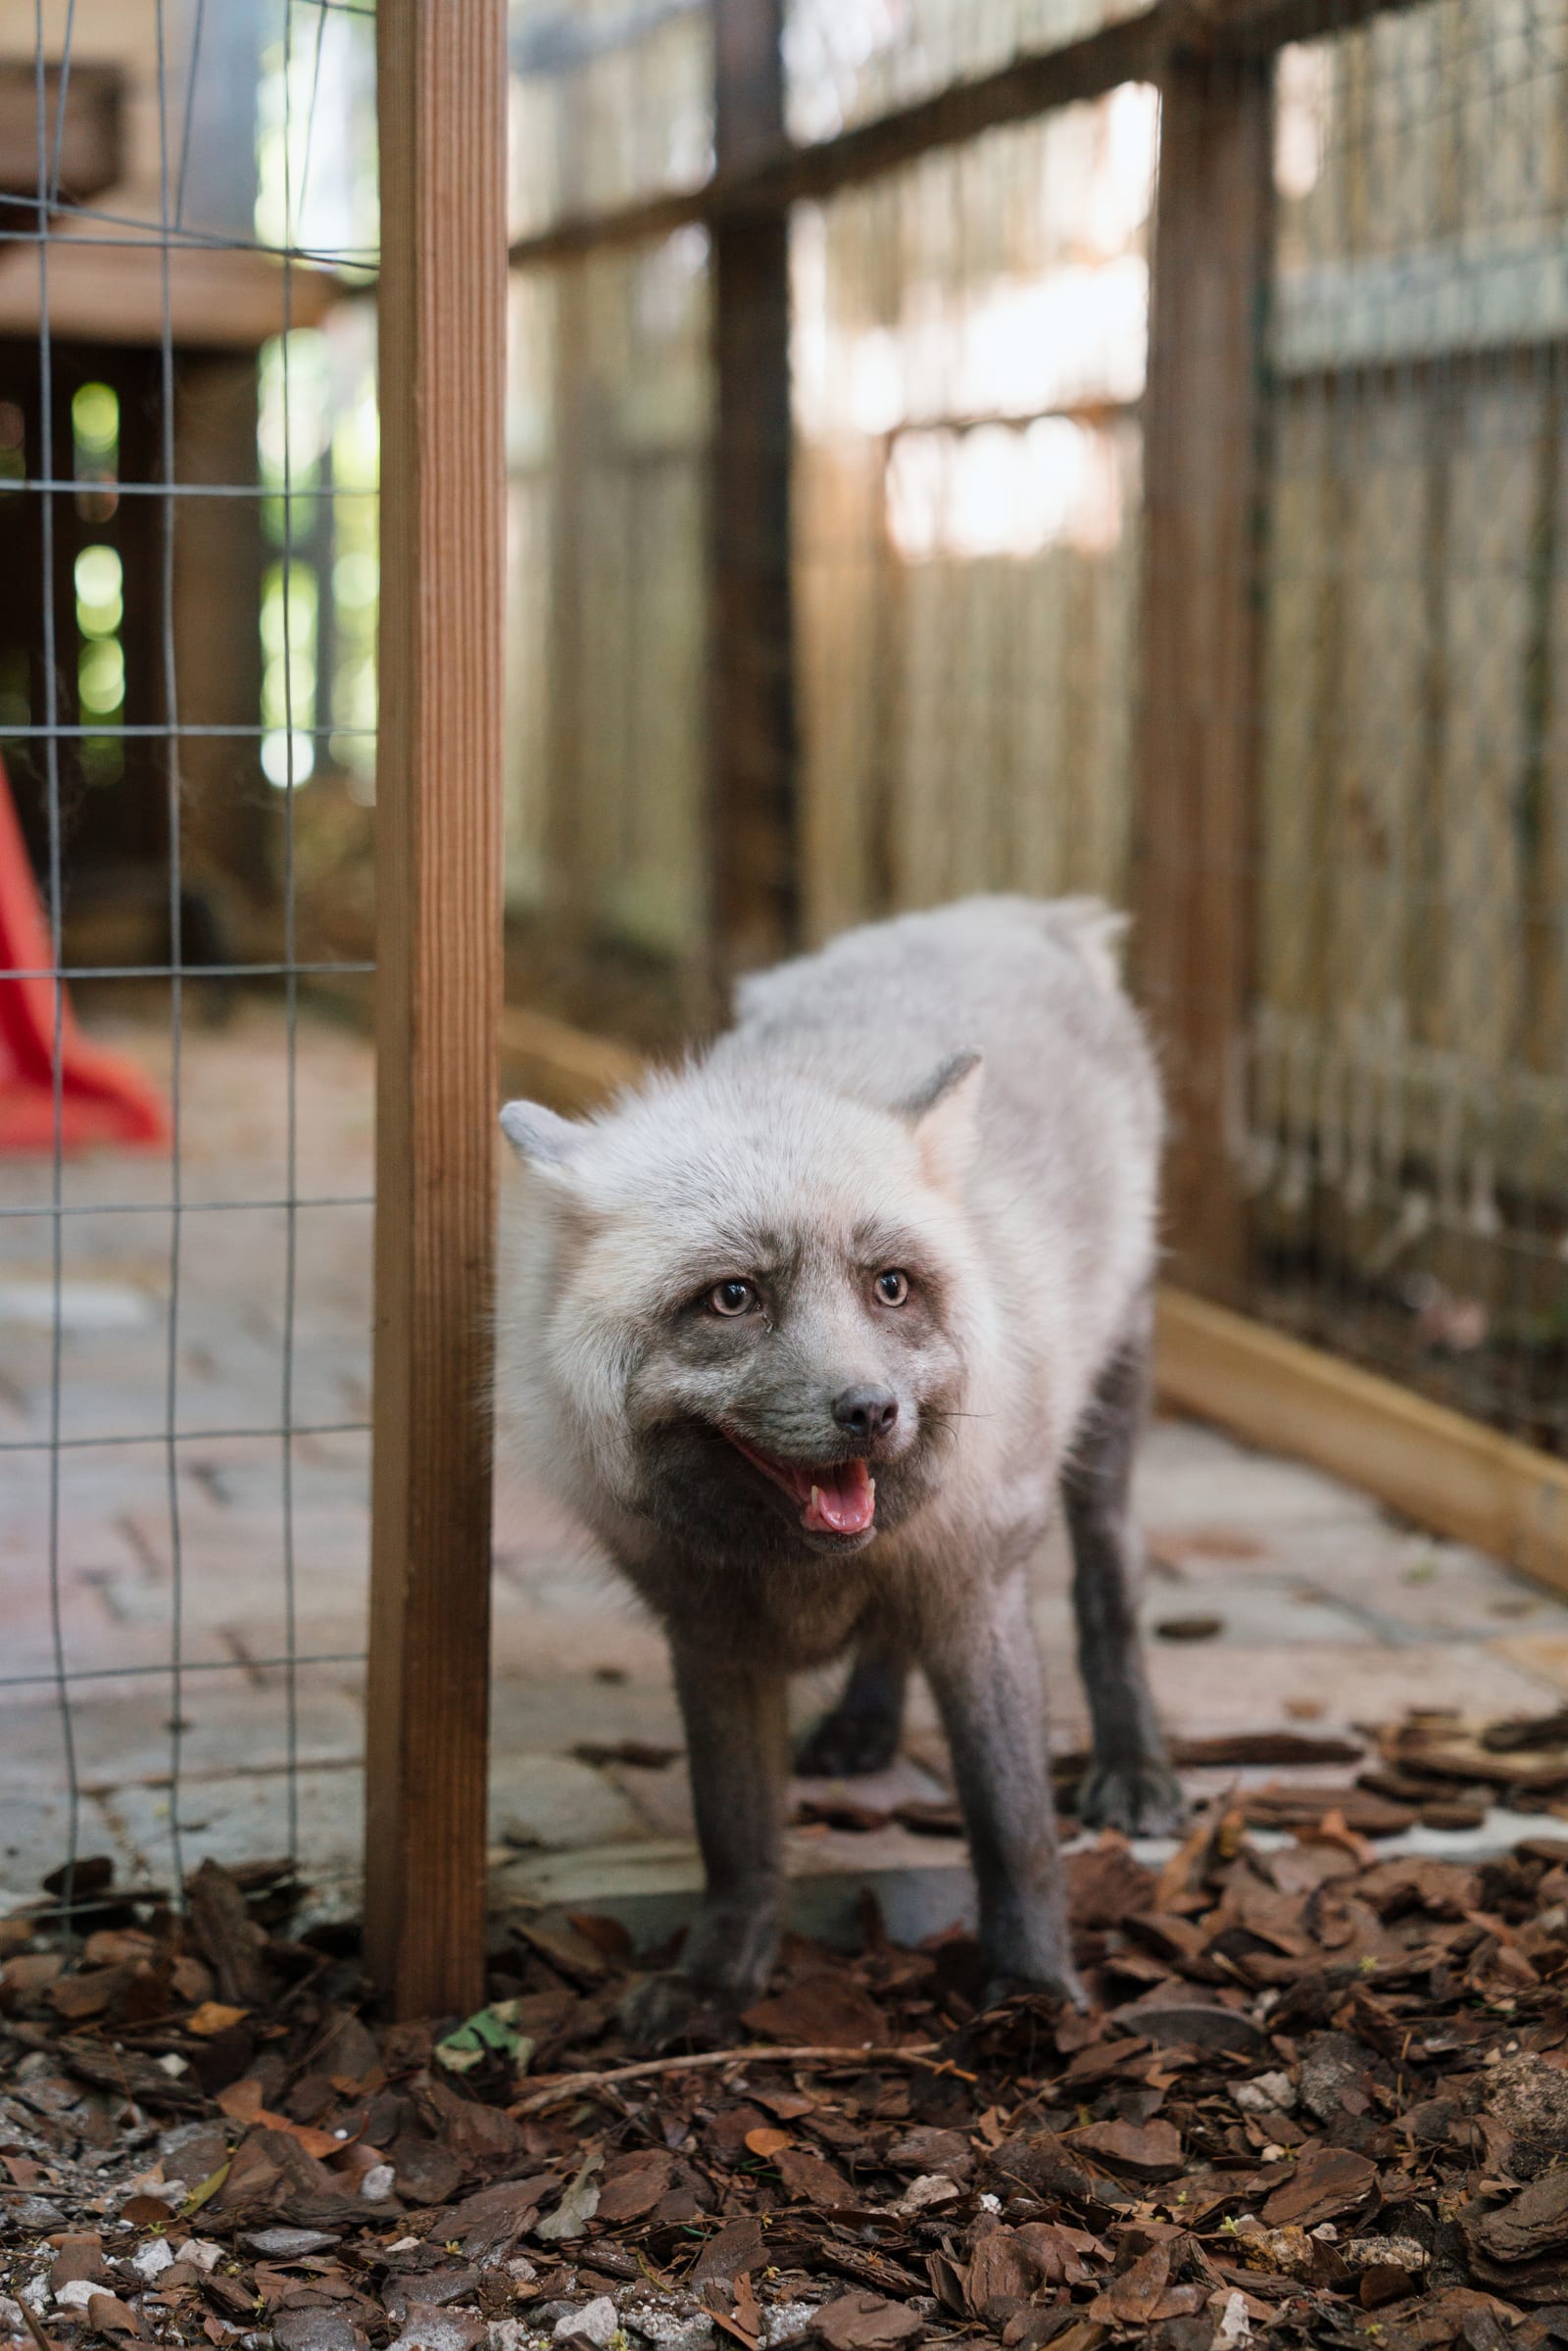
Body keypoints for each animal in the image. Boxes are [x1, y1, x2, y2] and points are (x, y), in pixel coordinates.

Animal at [495, 895, 1183, 2031]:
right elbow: (734, 1835)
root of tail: (999, 913)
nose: (871, 1411)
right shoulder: (709, 1630)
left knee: (1110, 1588)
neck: (801, 1574)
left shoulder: (973, 1591)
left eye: (890, 1285)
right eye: (733, 1297)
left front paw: (1034, 1986)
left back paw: (1136, 1766)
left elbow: (1014, 1827)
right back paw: (866, 1723)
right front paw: (720, 1973)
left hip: (1110, 1412)